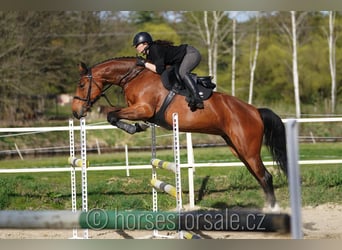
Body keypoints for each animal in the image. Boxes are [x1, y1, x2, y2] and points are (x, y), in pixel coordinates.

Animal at [73, 56, 288, 209]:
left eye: (82, 85)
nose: (76, 112)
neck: (135, 76)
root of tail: (255, 111)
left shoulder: (144, 109)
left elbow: (111, 115)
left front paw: (134, 127)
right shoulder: (138, 109)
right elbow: (113, 114)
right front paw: (138, 127)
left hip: (248, 149)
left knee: (265, 177)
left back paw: (273, 210)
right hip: (238, 149)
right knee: (260, 177)